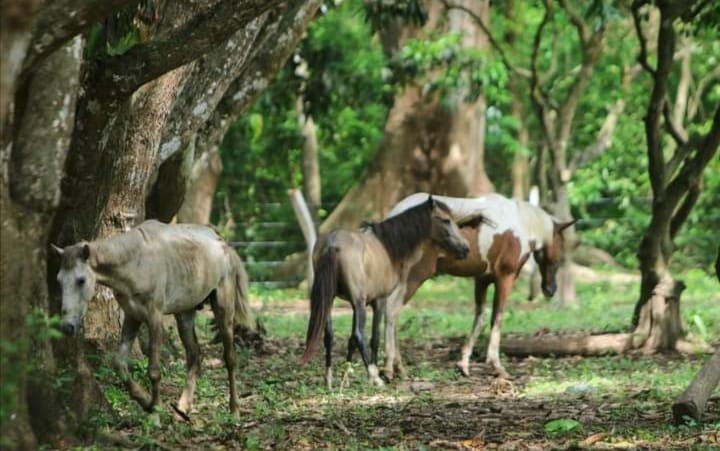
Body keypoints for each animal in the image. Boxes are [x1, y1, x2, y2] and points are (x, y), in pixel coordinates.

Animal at [52, 221, 253, 418]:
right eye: (59, 281)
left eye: (81, 280)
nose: (67, 326)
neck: (136, 261)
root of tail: (223, 245)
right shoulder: (133, 316)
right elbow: (119, 364)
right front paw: (146, 401)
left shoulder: (154, 317)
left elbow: (154, 370)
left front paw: (155, 412)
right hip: (185, 313)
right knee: (195, 355)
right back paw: (182, 408)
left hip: (224, 310)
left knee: (230, 358)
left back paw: (234, 410)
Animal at [300, 196, 478, 386]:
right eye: (446, 220)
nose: (466, 248)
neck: (388, 248)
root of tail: (332, 244)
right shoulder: (378, 301)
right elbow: (374, 338)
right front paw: (374, 374)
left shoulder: (356, 304)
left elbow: (350, 341)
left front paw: (346, 378)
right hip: (358, 303)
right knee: (358, 335)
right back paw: (374, 376)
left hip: (329, 300)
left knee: (329, 336)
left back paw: (329, 379)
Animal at [382, 192, 572, 380]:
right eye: (561, 248)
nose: (551, 289)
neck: (521, 225)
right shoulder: (505, 278)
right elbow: (497, 318)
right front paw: (496, 366)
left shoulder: (483, 279)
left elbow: (480, 318)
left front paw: (464, 364)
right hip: (415, 277)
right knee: (392, 310)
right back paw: (391, 368)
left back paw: (397, 367)